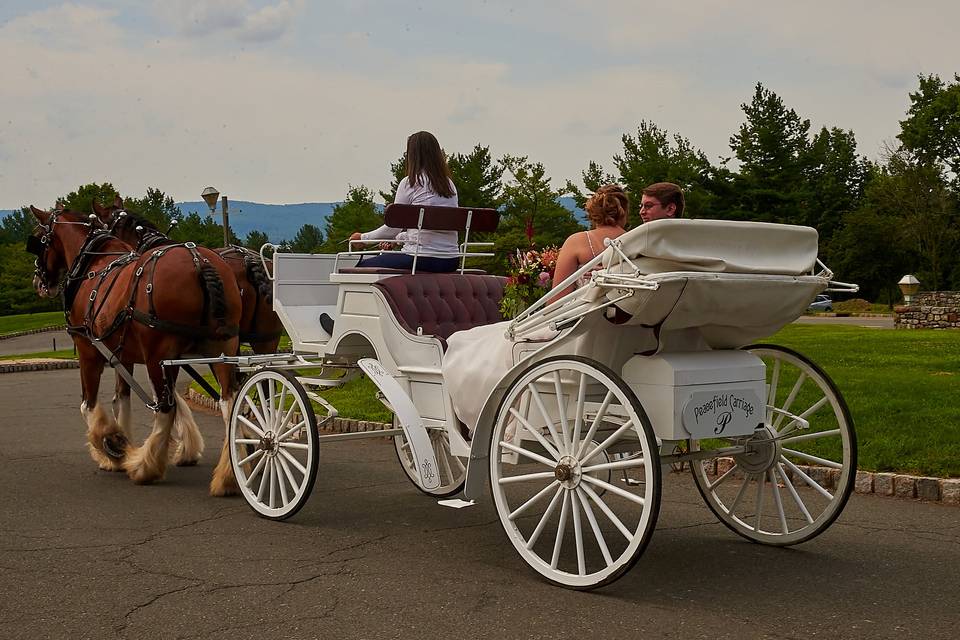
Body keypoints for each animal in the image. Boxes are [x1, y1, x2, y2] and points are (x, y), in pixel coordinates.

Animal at [29, 206, 244, 496]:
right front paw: (125, 447)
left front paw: (111, 443)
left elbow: (89, 405)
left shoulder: (89, 351)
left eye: (40, 240)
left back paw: (146, 466)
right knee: (230, 404)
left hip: (159, 356)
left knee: (166, 408)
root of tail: (200, 261)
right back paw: (229, 476)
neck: (93, 267)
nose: (39, 282)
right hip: (221, 349)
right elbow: (122, 399)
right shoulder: (124, 357)